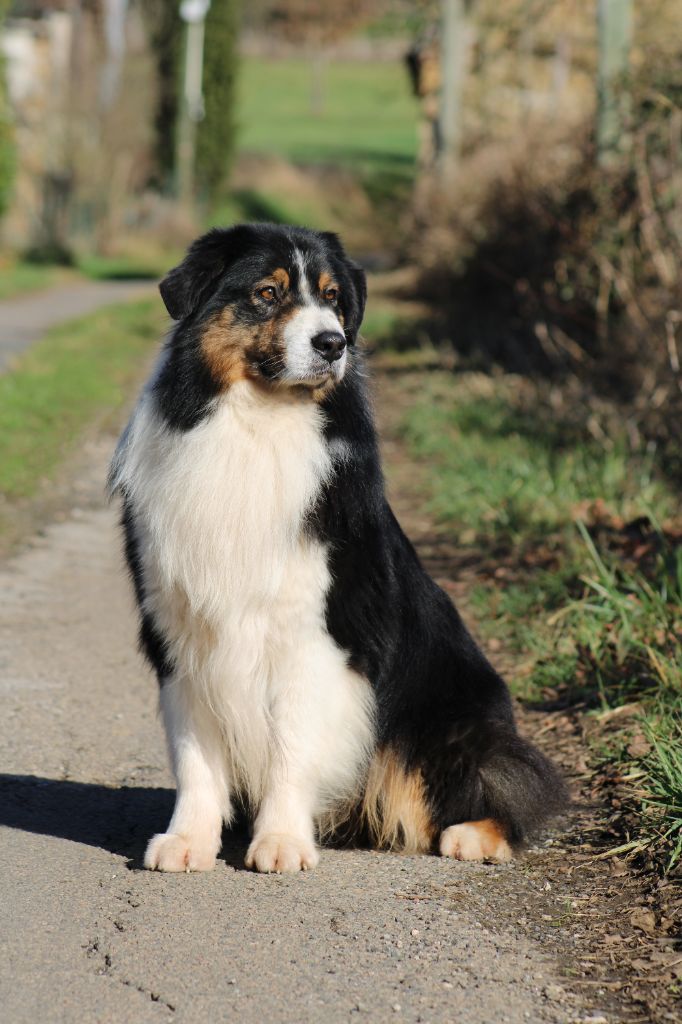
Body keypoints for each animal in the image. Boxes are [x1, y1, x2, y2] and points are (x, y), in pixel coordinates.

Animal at [109, 224, 565, 872]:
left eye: (332, 298)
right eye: (268, 292)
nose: (333, 343)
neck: (257, 424)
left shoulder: (316, 632)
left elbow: (290, 743)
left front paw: (280, 841)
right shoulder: (180, 631)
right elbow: (195, 754)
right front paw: (188, 841)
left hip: (449, 714)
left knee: (507, 781)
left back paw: (474, 835)